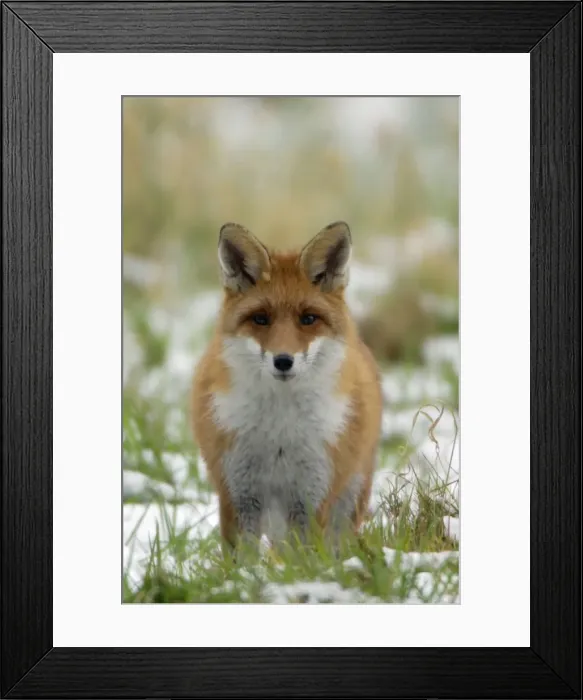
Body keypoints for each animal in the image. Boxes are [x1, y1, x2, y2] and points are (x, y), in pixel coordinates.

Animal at [190, 221, 383, 556]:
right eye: (260, 319)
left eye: (308, 319)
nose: (283, 361)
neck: (278, 431)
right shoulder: (238, 494)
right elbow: (242, 562)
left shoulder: (311, 496)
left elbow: (304, 561)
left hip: (347, 504)